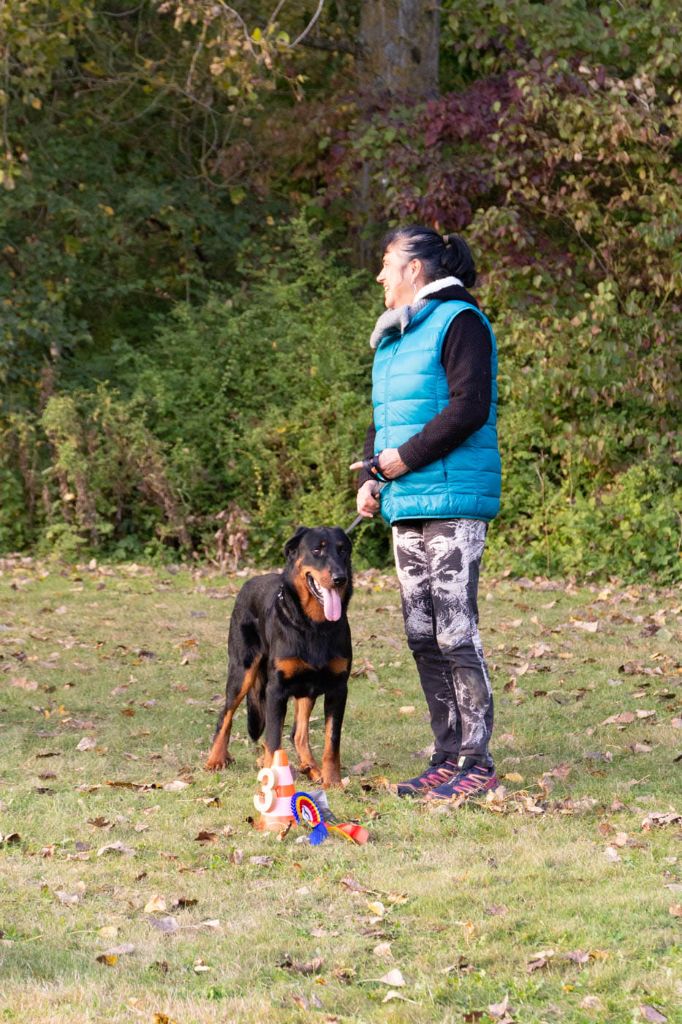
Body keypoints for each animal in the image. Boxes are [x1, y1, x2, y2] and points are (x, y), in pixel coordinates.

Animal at [205, 526, 353, 787]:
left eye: (343, 550)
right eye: (317, 550)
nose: (340, 578)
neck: (313, 625)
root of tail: (250, 581)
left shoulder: (338, 688)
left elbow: (332, 741)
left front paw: (333, 781)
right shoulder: (276, 689)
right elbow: (273, 741)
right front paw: (274, 783)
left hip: (307, 688)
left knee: (298, 733)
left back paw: (312, 768)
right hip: (242, 671)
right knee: (226, 714)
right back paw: (215, 759)